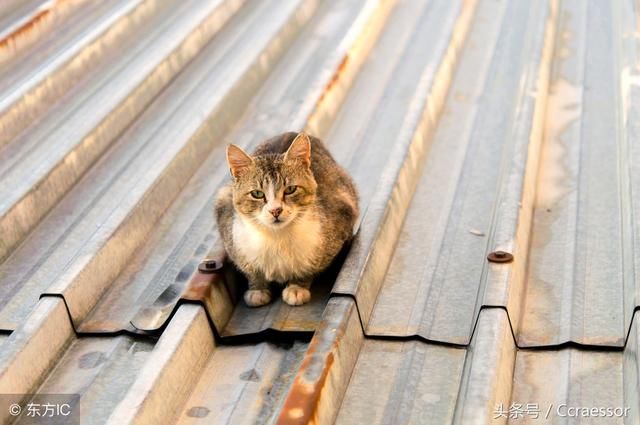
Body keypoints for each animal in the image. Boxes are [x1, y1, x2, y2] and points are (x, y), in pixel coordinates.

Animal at [214, 131, 356, 306]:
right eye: (257, 193)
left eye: (290, 189)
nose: (275, 210)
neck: (276, 237)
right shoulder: (230, 231)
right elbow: (250, 269)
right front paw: (257, 289)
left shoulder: (341, 214)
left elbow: (311, 266)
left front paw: (297, 287)